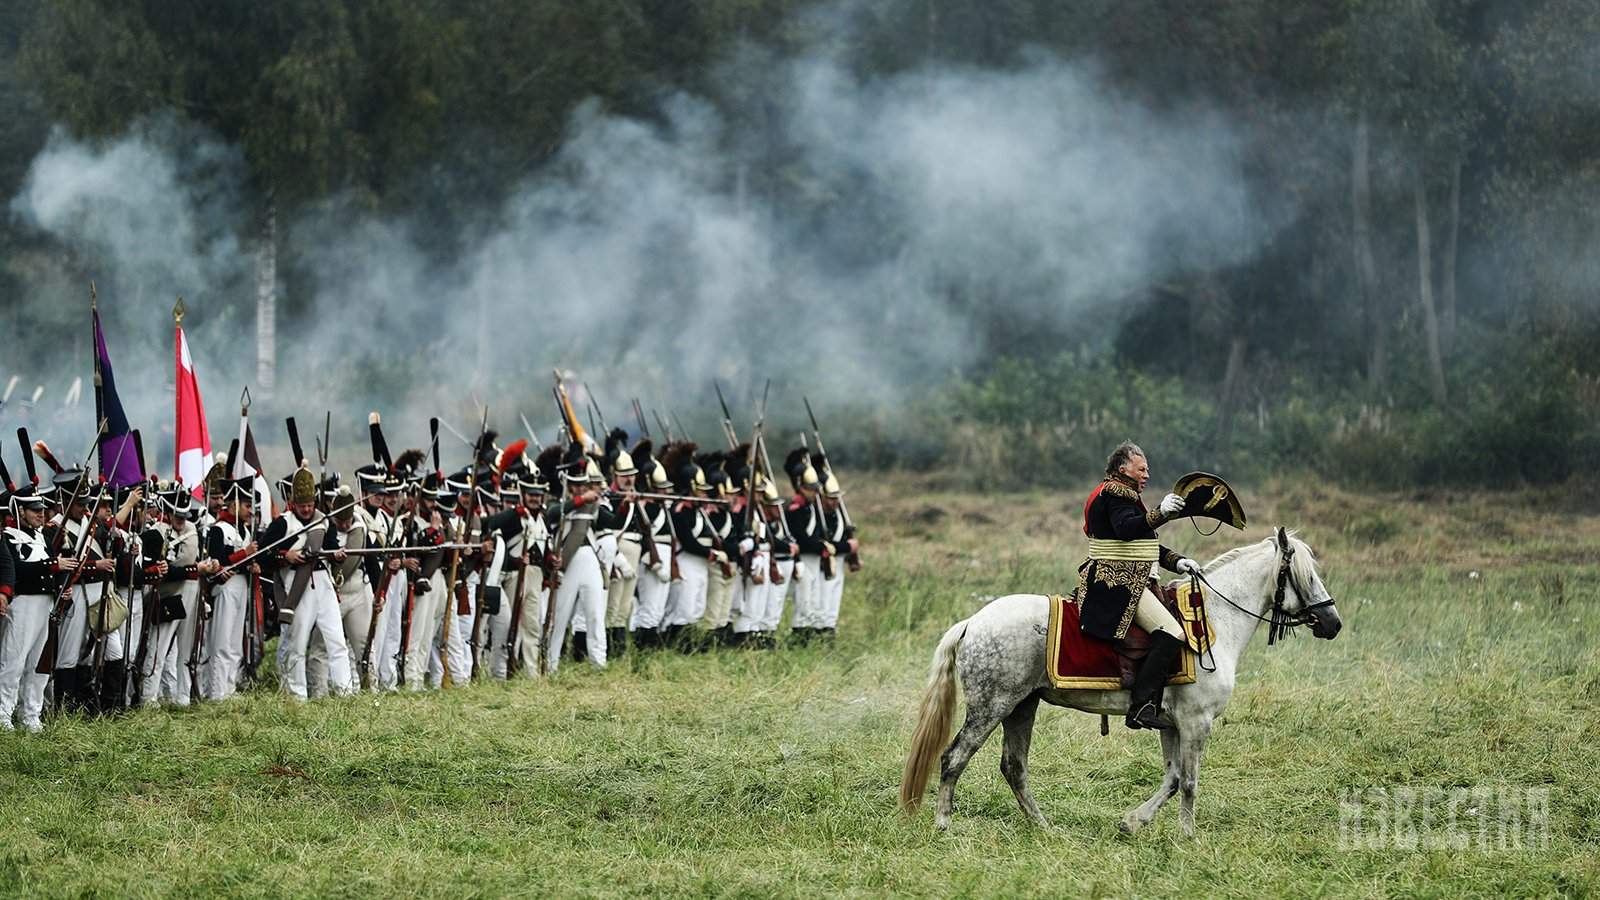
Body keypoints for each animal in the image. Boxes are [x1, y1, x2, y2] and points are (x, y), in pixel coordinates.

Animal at [902, 525, 1337, 832]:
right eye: (1306, 577)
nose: (1333, 623)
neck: (1214, 621)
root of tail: (973, 622)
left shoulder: (1171, 724)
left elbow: (1173, 778)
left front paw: (1132, 823)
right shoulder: (1196, 723)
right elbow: (1190, 782)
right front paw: (1188, 837)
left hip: (1022, 706)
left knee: (1014, 767)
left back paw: (1044, 828)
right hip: (992, 706)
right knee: (955, 757)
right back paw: (944, 823)